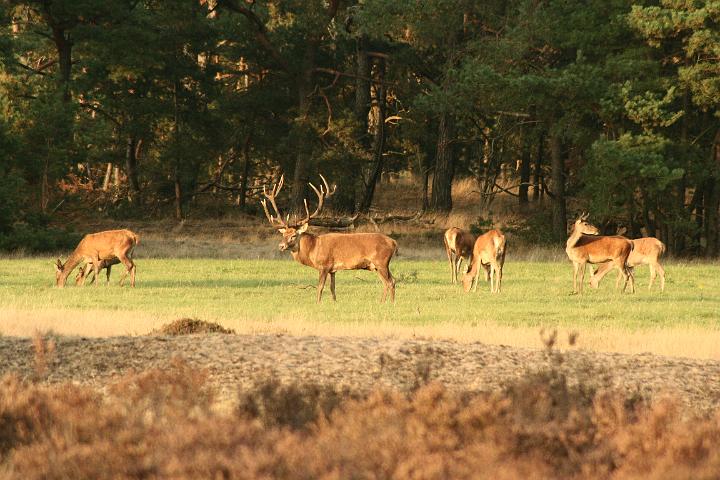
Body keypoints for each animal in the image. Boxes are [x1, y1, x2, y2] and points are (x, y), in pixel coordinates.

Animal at [262, 175, 400, 304]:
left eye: (294, 235)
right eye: (283, 235)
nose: (281, 246)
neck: (313, 249)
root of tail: (394, 243)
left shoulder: (324, 265)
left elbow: (320, 287)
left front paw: (317, 303)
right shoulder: (332, 270)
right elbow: (332, 287)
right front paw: (334, 302)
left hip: (381, 261)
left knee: (390, 281)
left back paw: (390, 303)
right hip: (376, 265)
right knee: (389, 281)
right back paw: (382, 302)